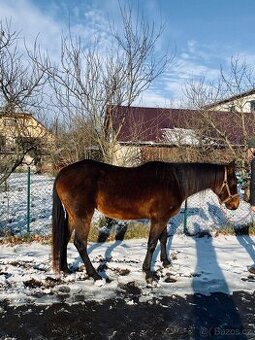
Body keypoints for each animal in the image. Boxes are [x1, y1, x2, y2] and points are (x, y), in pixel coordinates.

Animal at [51, 159, 239, 282]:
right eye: (234, 182)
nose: (235, 204)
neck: (176, 182)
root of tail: (62, 173)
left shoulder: (162, 218)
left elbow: (163, 238)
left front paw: (165, 262)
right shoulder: (159, 218)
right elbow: (152, 243)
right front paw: (148, 273)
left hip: (73, 216)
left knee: (65, 238)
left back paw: (66, 269)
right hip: (83, 215)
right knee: (80, 243)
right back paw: (95, 275)